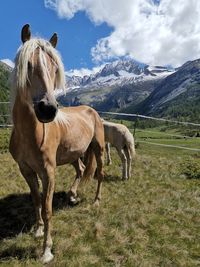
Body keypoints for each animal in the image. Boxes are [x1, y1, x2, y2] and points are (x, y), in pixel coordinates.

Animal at [9, 24, 104, 264]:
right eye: (28, 64)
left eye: (54, 68)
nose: (48, 109)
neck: (29, 134)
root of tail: (92, 111)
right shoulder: (26, 170)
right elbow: (36, 201)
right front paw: (38, 230)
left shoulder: (48, 172)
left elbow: (47, 208)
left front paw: (47, 251)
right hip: (73, 155)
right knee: (80, 170)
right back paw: (72, 196)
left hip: (98, 149)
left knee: (99, 174)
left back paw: (96, 201)